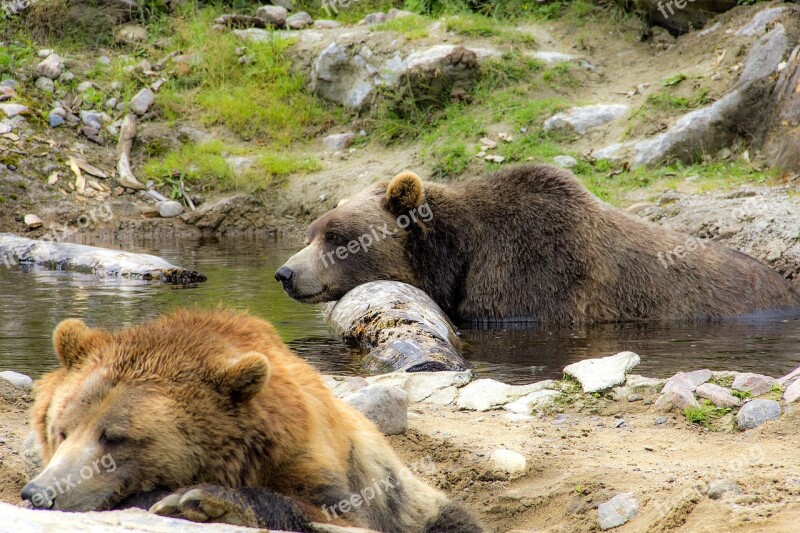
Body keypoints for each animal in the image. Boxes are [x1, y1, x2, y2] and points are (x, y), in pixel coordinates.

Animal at [20, 308, 482, 532]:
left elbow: (328, 513)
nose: (39, 494)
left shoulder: (315, 464)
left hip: (412, 500)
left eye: (114, 437)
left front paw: (194, 500)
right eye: (60, 430)